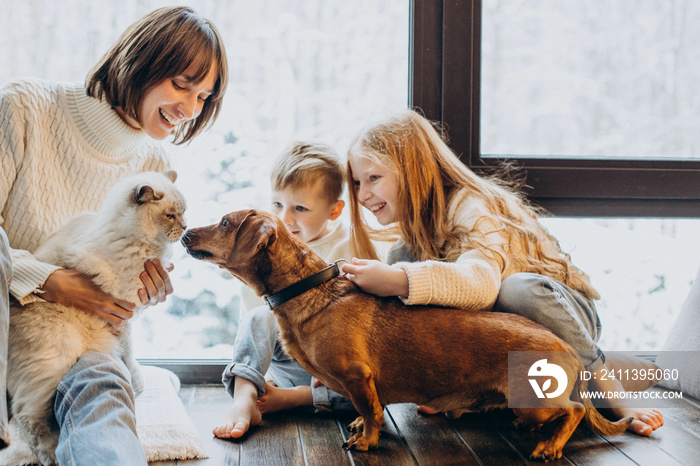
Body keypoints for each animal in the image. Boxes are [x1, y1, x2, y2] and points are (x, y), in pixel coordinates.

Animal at [7, 169, 186, 464]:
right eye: (171, 216)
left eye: (184, 212)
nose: (185, 227)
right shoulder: (124, 312)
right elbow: (129, 354)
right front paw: (137, 383)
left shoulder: (128, 317)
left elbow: (128, 355)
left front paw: (137, 384)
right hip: (57, 359)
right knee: (28, 419)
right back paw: (52, 455)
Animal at [182, 211, 636, 462]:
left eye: (225, 223)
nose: (184, 232)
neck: (308, 290)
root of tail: (569, 350)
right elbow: (366, 411)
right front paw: (358, 428)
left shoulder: (358, 377)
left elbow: (372, 412)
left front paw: (366, 440)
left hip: (533, 400)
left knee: (573, 412)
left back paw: (550, 445)